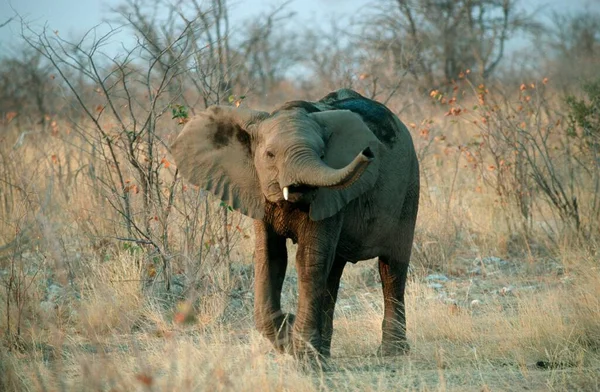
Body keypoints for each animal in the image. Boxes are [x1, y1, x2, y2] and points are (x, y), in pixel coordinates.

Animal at [171, 89, 420, 358]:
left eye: (322, 155)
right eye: (269, 155)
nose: (367, 152)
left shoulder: (328, 196)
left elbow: (308, 259)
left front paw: (302, 353)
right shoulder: (259, 191)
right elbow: (270, 257)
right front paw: (290, 334)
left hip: (410, 184)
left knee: (392, 267)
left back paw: (392, 353)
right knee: (333, 272)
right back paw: (324, 353)